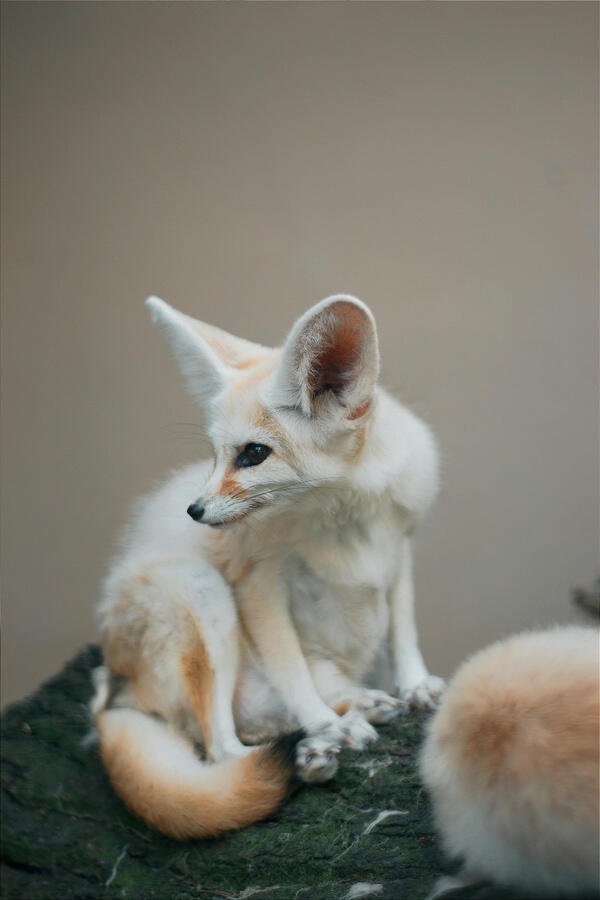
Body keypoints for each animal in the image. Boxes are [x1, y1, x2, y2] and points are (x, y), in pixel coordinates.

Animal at [92, 293, 444, 839]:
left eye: (253, 454)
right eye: (215, 455)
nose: (194, 511)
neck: (343, 523)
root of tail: (112, 695)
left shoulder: (399, 548)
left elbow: (403, 630)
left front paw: (413, 683)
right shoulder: (256, 581)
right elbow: (292, 673)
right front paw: (324, 725)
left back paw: (357, 711)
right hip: (201, 591)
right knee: (221, 750)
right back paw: (318, 744)